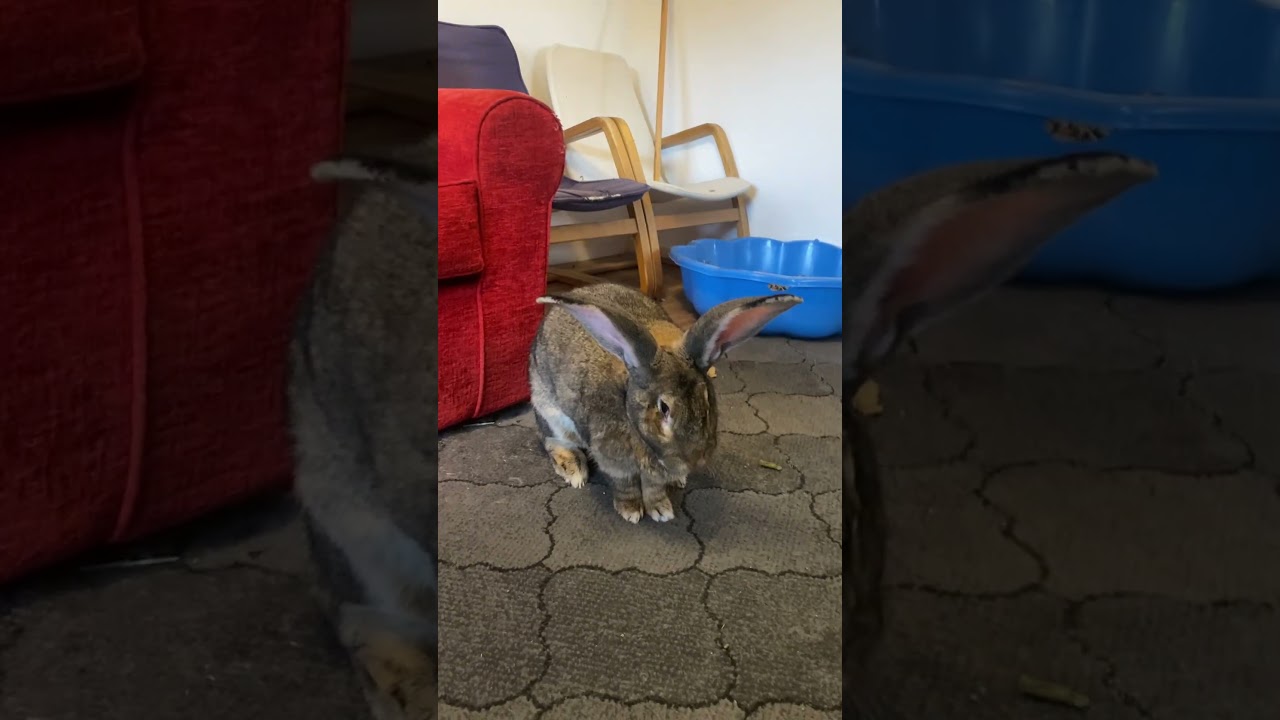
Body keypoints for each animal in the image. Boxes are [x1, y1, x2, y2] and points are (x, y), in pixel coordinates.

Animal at [529, 283, 802, 523]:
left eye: (707, 399)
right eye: (664, 408)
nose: (694, 461)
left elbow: (654, 488)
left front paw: (661, 510)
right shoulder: (613, 459)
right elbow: (624, 484)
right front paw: (630, 510)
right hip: (550, 413)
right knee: (553, 442)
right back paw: (574, 471)